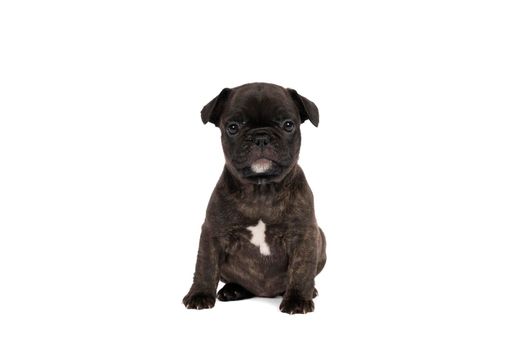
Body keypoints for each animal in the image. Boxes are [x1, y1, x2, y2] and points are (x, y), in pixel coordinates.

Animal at [182, 82, 326, 314]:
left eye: (288, 125)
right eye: (233, 127)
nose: (261, 137)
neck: (261, 189)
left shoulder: (304, 235)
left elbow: (302, 268)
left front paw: (297, 299)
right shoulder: (213, 233)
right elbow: (205, 265)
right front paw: (200, 294)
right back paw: (233, 290)